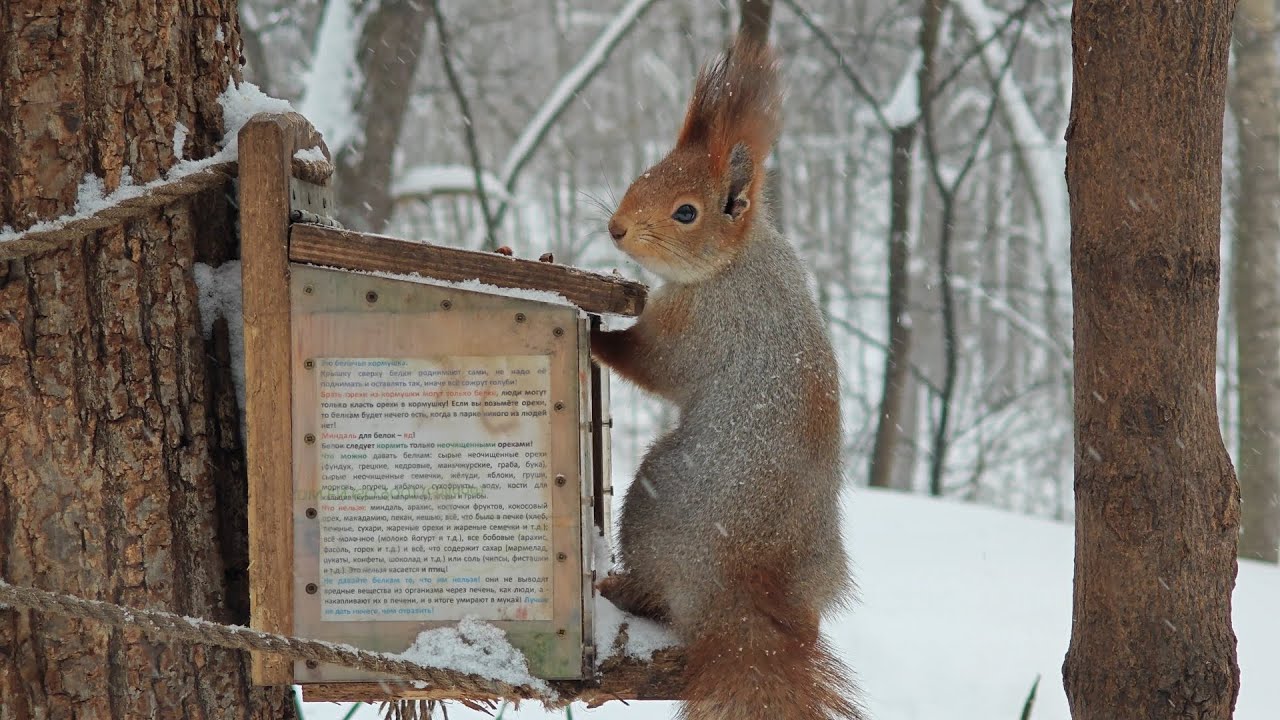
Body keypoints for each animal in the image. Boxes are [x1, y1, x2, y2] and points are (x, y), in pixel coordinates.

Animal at [592, 33, 862, 720]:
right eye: (641, 175)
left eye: (686, 213)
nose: (616, 229)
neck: (733, 263)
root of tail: (741, 594)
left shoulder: (705, 325)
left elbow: (652, 363)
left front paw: (597, 331)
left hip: (654, 504)